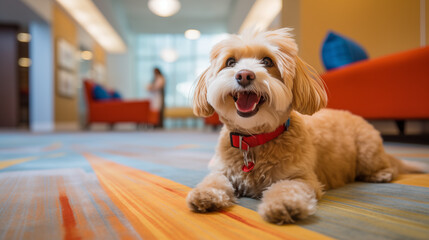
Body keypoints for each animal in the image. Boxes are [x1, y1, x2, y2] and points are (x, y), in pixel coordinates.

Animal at [186, 28, 422, 225]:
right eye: (231, 62)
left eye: (267, 61)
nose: (244, 75)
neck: (255, 139)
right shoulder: (223, 170)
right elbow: (214, 181)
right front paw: (205, 194)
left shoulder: (302, 178)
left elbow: (287, 188)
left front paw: (283, 205)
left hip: (367, 151)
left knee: (386, 165)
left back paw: (381, 174)